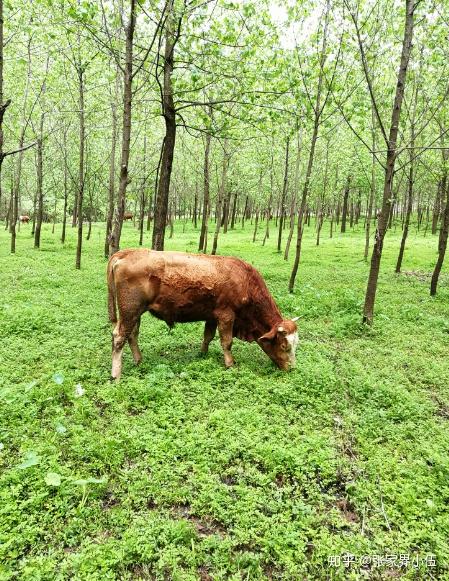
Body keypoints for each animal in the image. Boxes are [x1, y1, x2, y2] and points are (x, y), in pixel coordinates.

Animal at [107, 249, 300, 380]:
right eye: (284, 346)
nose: (291, 368)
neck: (245, 282)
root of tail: (125, 253)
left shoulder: (212, 317)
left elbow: (208, 337)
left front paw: (203, 354)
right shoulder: (226, 316)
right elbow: (227, 342)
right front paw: (230, 364)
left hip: (135, 313)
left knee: (132, 335)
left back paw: (139, 361)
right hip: (130, 311)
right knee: (119, 337)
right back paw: (116, 375)